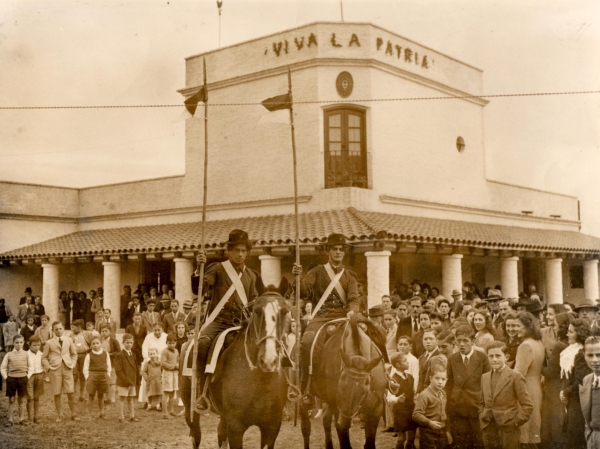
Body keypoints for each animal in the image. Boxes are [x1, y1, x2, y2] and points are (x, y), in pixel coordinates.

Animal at [186, 290, 292, 448]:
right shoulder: (236, 427)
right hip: (191, 410)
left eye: (285, 311)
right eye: (257, 311)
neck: (260, 380)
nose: (268, 360)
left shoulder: (272, 427)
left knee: (220, 431)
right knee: (196, 434)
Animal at [298, 316, 384, 448]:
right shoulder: (338, 407)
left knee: (326, 421)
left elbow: (369, 443)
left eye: (365, 387)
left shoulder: (376, 408)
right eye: (341, 385)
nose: (344, 421)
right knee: (306, 425)